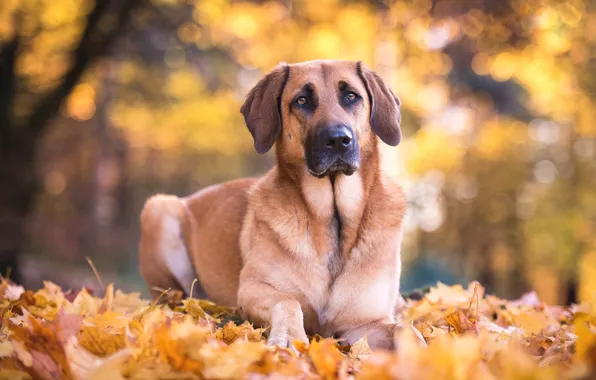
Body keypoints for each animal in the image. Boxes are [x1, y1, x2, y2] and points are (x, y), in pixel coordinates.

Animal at [140, 60, 408, 350]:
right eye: (301, 100)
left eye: (351, 96)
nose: (338, 139)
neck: (333, 221)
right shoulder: (252, 289)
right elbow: (288, 300)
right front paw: (290, 337)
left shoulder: (364, 322)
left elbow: (407, 329)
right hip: (159, 209)